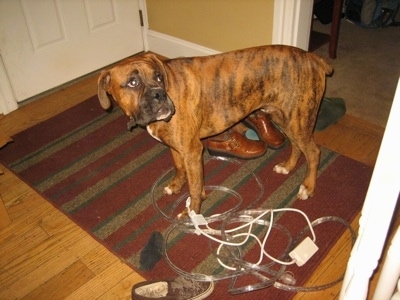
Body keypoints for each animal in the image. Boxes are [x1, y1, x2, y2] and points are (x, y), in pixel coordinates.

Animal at [98, 44, 332, 218]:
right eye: (133, 82)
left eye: (158, 77)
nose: (159, 94)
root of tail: (313, 58)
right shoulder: (176, 148)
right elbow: (179, 168)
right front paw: (175, 186)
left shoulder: (192, 152)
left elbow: (195, 187)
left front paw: (192, 212)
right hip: (286, 118)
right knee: (297, 147)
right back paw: (288, 166)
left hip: (298, 120)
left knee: (313, 152)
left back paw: (308, 187)